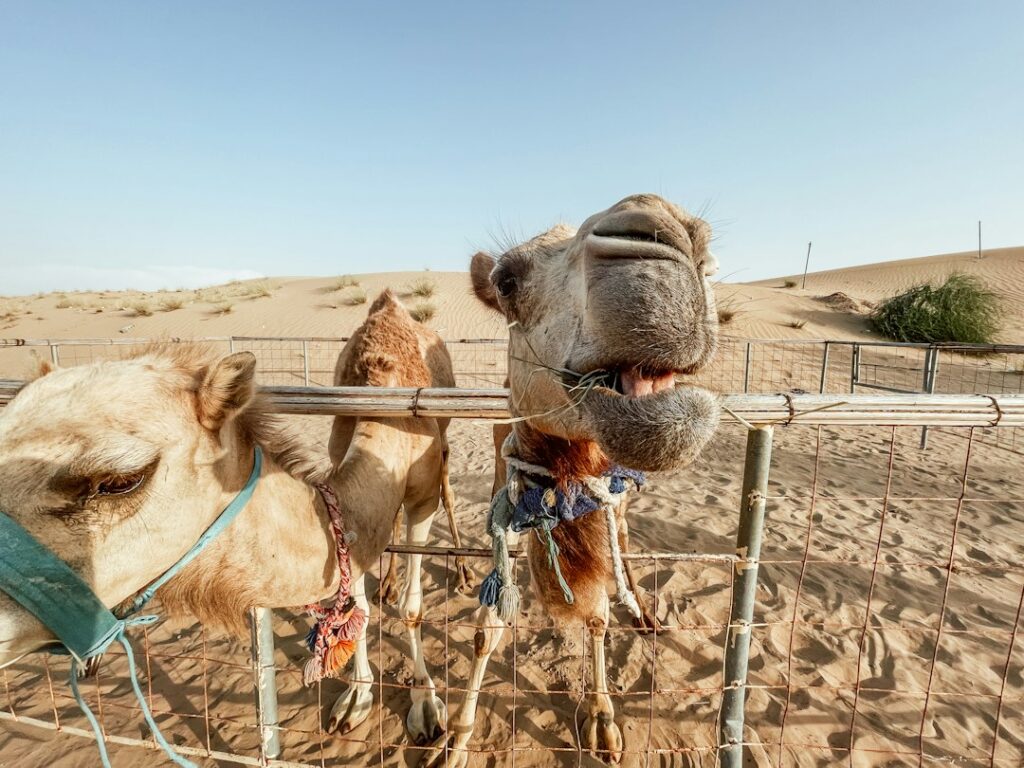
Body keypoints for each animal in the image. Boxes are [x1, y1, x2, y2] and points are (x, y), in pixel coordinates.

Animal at [0, 291, 459, 748]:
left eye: (120, 481)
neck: (388, 419)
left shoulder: (422, 499)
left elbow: (412, 608)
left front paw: (424, 705)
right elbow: (355, 603)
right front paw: (357, 698)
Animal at [423, 193, 721, 766]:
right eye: (506, 280)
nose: (666, 229)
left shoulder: (602, 504)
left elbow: (598, 614)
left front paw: (603, 720)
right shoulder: (510, 502)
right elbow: (488, 627)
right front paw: (454, 738)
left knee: (623, 539)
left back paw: (644, 611)